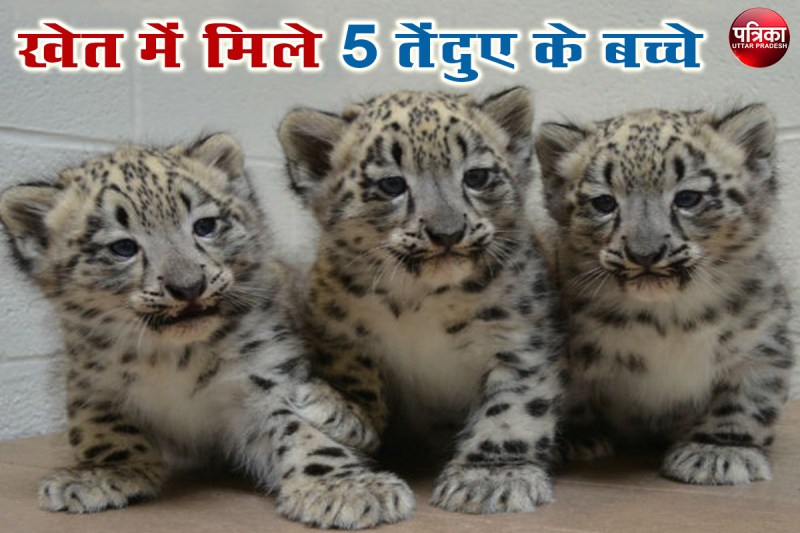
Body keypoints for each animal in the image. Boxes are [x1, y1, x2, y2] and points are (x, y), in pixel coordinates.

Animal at [0, 133, 413, 528]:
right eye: (122, 247)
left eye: (205, 226)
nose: (188, 286)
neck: (170, 356)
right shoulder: (91, 383)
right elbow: (99, 430)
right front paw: (102, 474)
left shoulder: (264, 376)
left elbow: (302, 435)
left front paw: (347, 489)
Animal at [277, 87, 564, 514]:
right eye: (392, 185)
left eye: (476, 177)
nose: (448, 232)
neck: (422, 299)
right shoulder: (337, 326)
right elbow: (353, 368)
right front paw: (343, 408)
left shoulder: (520, 341)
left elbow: (513, 409)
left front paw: (491, 478)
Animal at [535, 104, 794, 485]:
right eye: (604, 203)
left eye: (688, 198)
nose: (645, 253)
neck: (670, 318)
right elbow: (565, 396)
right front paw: (575, 438)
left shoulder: (762, 342)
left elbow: (746, 400)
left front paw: (718, 452)